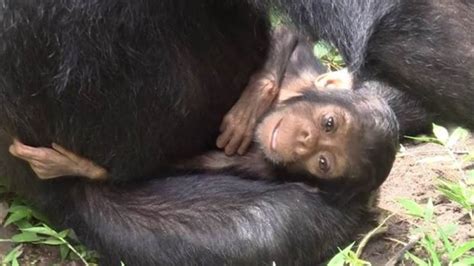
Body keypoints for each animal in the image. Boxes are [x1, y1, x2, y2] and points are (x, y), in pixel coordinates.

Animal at [0, 0, 472, 266]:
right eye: (328, 123)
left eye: (324, 161)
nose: (304, 140)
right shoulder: (304, 76)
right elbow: (290, 37)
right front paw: (257, 94)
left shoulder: (261, 163)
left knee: (275, 228)